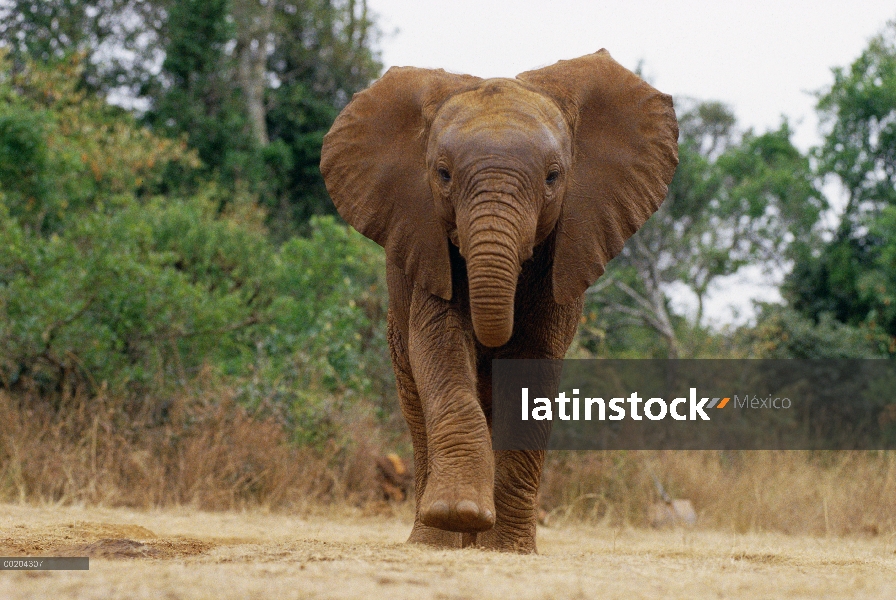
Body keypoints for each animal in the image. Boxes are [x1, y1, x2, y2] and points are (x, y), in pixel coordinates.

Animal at [318, 49, 676, 552]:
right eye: (443, 175)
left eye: (553, 177)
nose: (490, 342)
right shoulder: (428, 245)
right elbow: (440, 347)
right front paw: (460, 512)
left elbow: (533, 366)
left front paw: (507, 549)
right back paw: (437, 540)